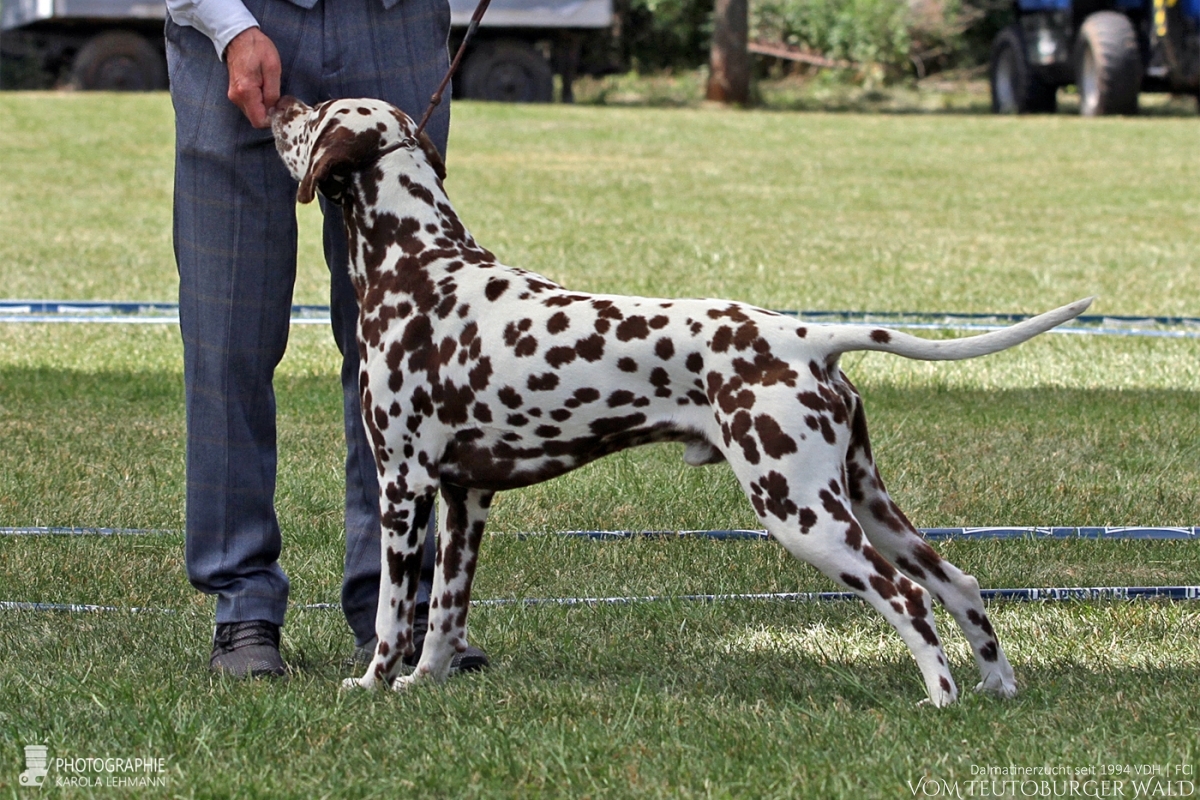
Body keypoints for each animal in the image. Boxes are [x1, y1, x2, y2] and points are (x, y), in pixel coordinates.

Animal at [272, 97, 1099, 710]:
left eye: (316, 112)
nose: (277, 100)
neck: (424, 265)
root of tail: (806, 336)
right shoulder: (466, 497)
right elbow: (444, 615)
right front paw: (424, 683)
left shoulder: (403, 487)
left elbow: (391, 614)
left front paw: (373, 684)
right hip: (867, 505)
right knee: (958, 584)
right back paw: (997, 686)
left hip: (803, 515)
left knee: (907, 598)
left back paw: (941, 696)